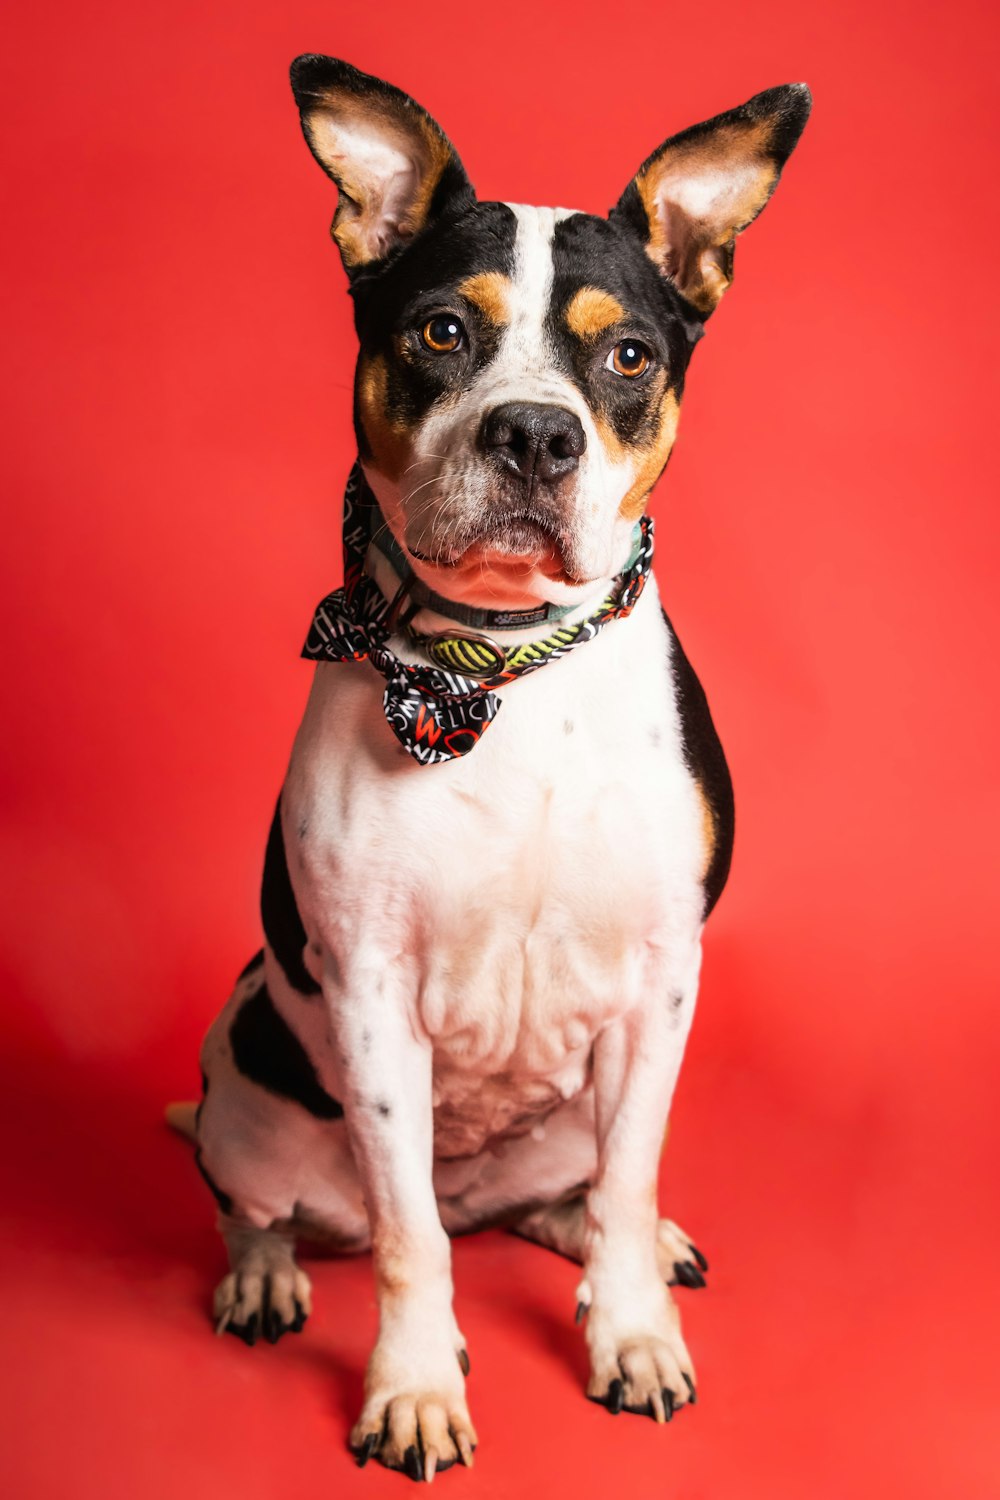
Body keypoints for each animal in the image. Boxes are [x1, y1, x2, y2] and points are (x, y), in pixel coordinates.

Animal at [170, 55, 815, 1476]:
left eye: (628, 354)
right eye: (440, 335)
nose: (532, 434)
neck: (500, 670)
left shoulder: (660, 985)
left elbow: (626, 1181)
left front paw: (630, 1334)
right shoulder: (369, 991)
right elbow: (408, 1245)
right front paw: (414, 1386)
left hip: (579, 1098)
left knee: (570, 1196)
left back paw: (620, 1246)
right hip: (248, 1080)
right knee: (286, 1206)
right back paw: (263, 1277)